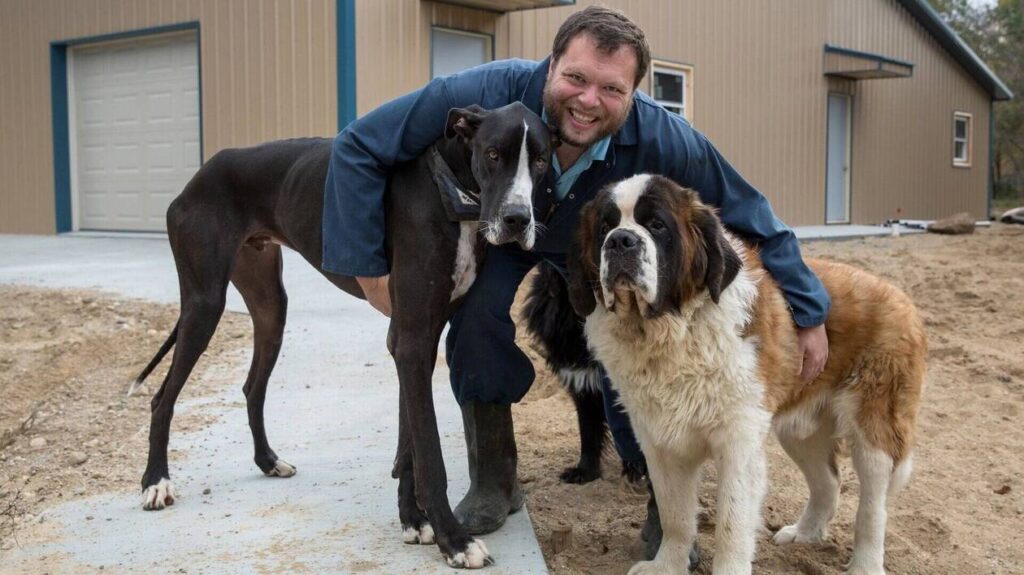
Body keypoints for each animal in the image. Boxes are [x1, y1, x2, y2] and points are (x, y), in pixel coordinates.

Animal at [569, 174, 929, 572]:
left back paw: (864, 563)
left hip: (874, 431)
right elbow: (675, 516)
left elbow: (730, 524)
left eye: (657, 225)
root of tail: (899, 296)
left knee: (873, 507)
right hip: (799, 431)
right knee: (828, 482)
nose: (620, 240)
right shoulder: (660, 442)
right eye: (604, 227)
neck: (669, 331)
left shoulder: (738, 441)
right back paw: (804, 533)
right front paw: (666, 566)